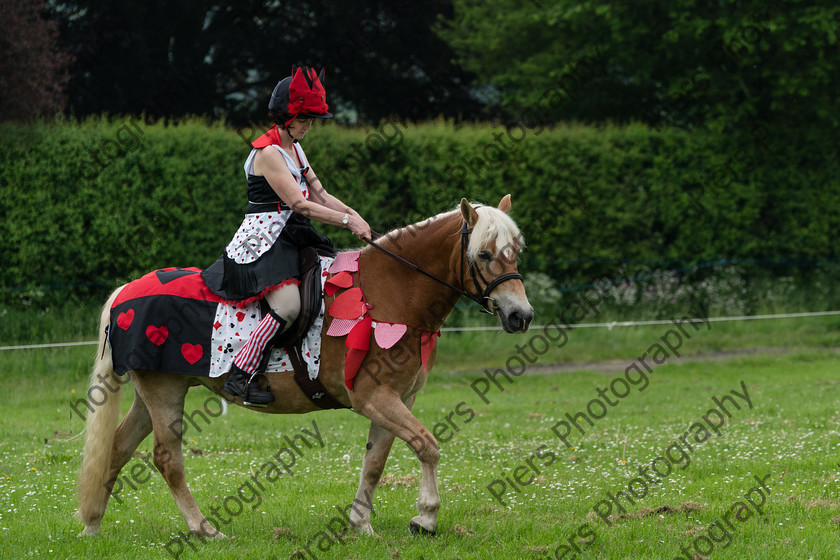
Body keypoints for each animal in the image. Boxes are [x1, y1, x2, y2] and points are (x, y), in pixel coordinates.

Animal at [77, 196, 532, 540]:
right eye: (484, 254)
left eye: (516, 252)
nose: (521, 316)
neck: (390, 293)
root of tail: (126, 292)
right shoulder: (374, 397)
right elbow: (427, 445)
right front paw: (426, 516)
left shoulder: (397, 399)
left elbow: (376, 462)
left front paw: (360, 524)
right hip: (165, 391)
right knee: (167, 460)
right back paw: (204, 529)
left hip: (151, 393)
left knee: (117, 449)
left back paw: (93, 526)